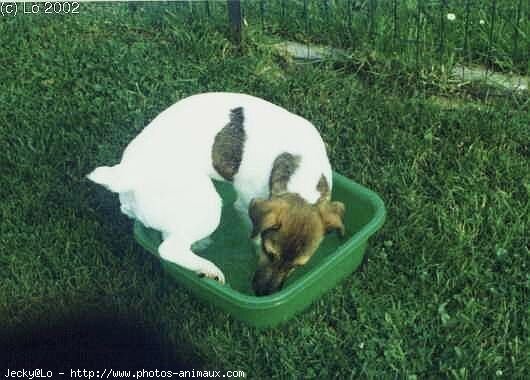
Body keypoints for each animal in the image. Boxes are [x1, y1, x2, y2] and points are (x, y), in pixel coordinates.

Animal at [87, 93, 342, 296]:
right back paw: (209, 269)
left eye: (298, 266)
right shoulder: (245, 205)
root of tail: (128, 173)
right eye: (269, 253)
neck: (301, 179)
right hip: (208, 206)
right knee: (169, 249)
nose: (263, 294)